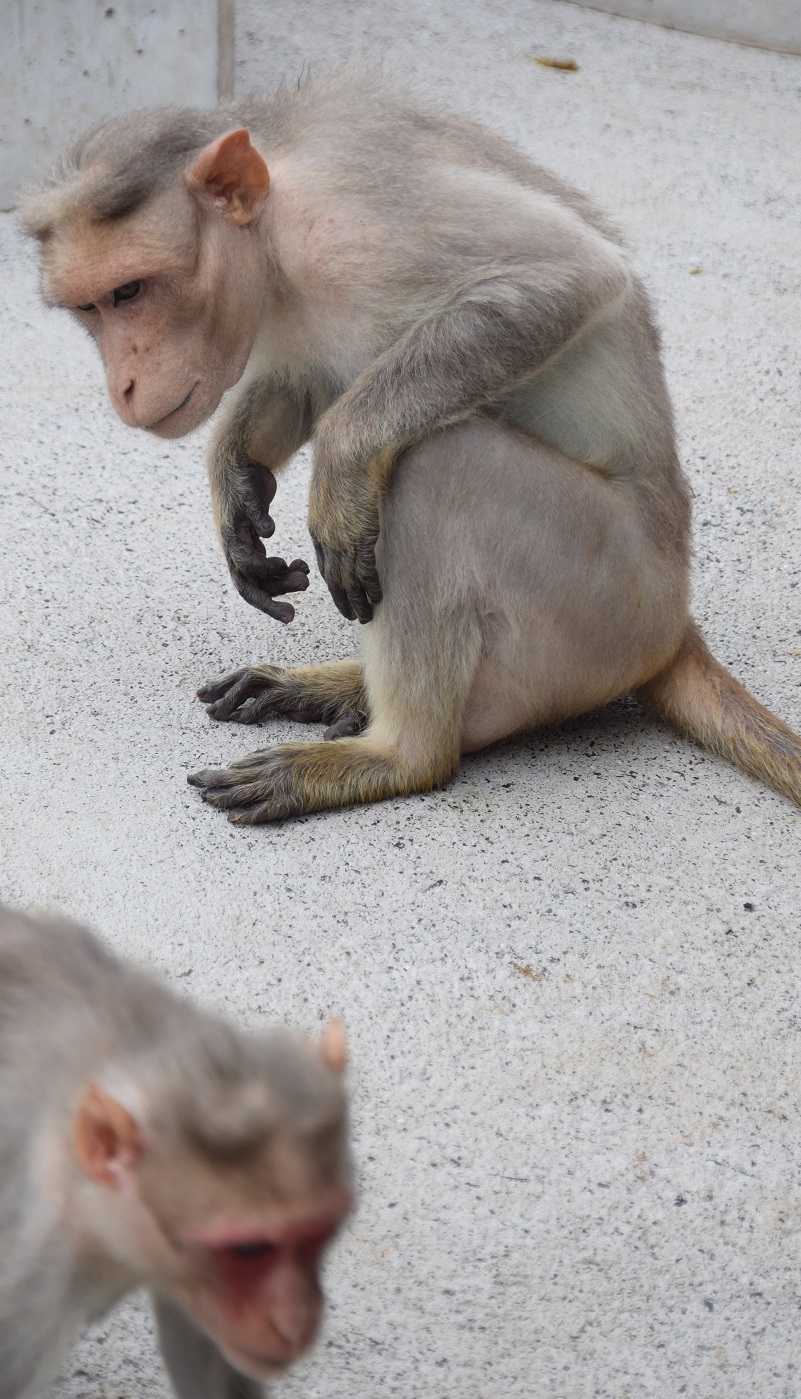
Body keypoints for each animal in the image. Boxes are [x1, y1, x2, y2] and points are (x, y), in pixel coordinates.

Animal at [21, 73, 799, 817]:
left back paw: (398, 755)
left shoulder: (352, 221)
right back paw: (342, 690)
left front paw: (339, 464)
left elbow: (568, 275)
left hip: (611, 602)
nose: (122, 386)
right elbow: (303, 380)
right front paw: (235, 483)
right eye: (90, 308)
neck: (275, 232)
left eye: (129, 292)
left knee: (434, 466)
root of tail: (675, 626)